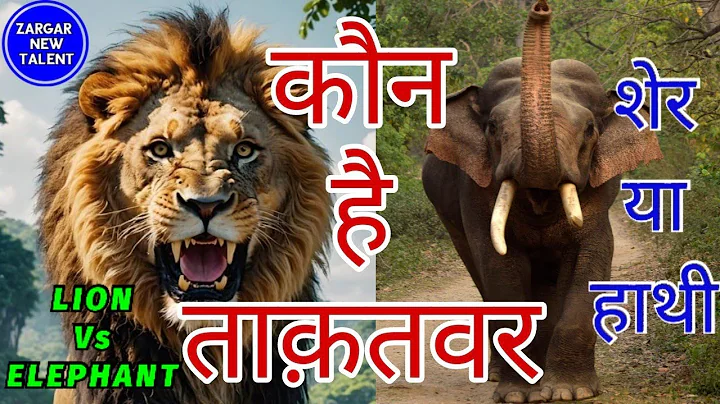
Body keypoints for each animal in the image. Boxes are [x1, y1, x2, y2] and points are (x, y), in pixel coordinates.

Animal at [422, 0, 662, 402]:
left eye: (590, 130)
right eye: (492, 128)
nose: (541, 7)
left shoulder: (600, 187)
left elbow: (590, 255)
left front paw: (569, 391)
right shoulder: (474, 187)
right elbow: (499, 266)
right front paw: (519, 394)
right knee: (480, 274)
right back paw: (497, 373)